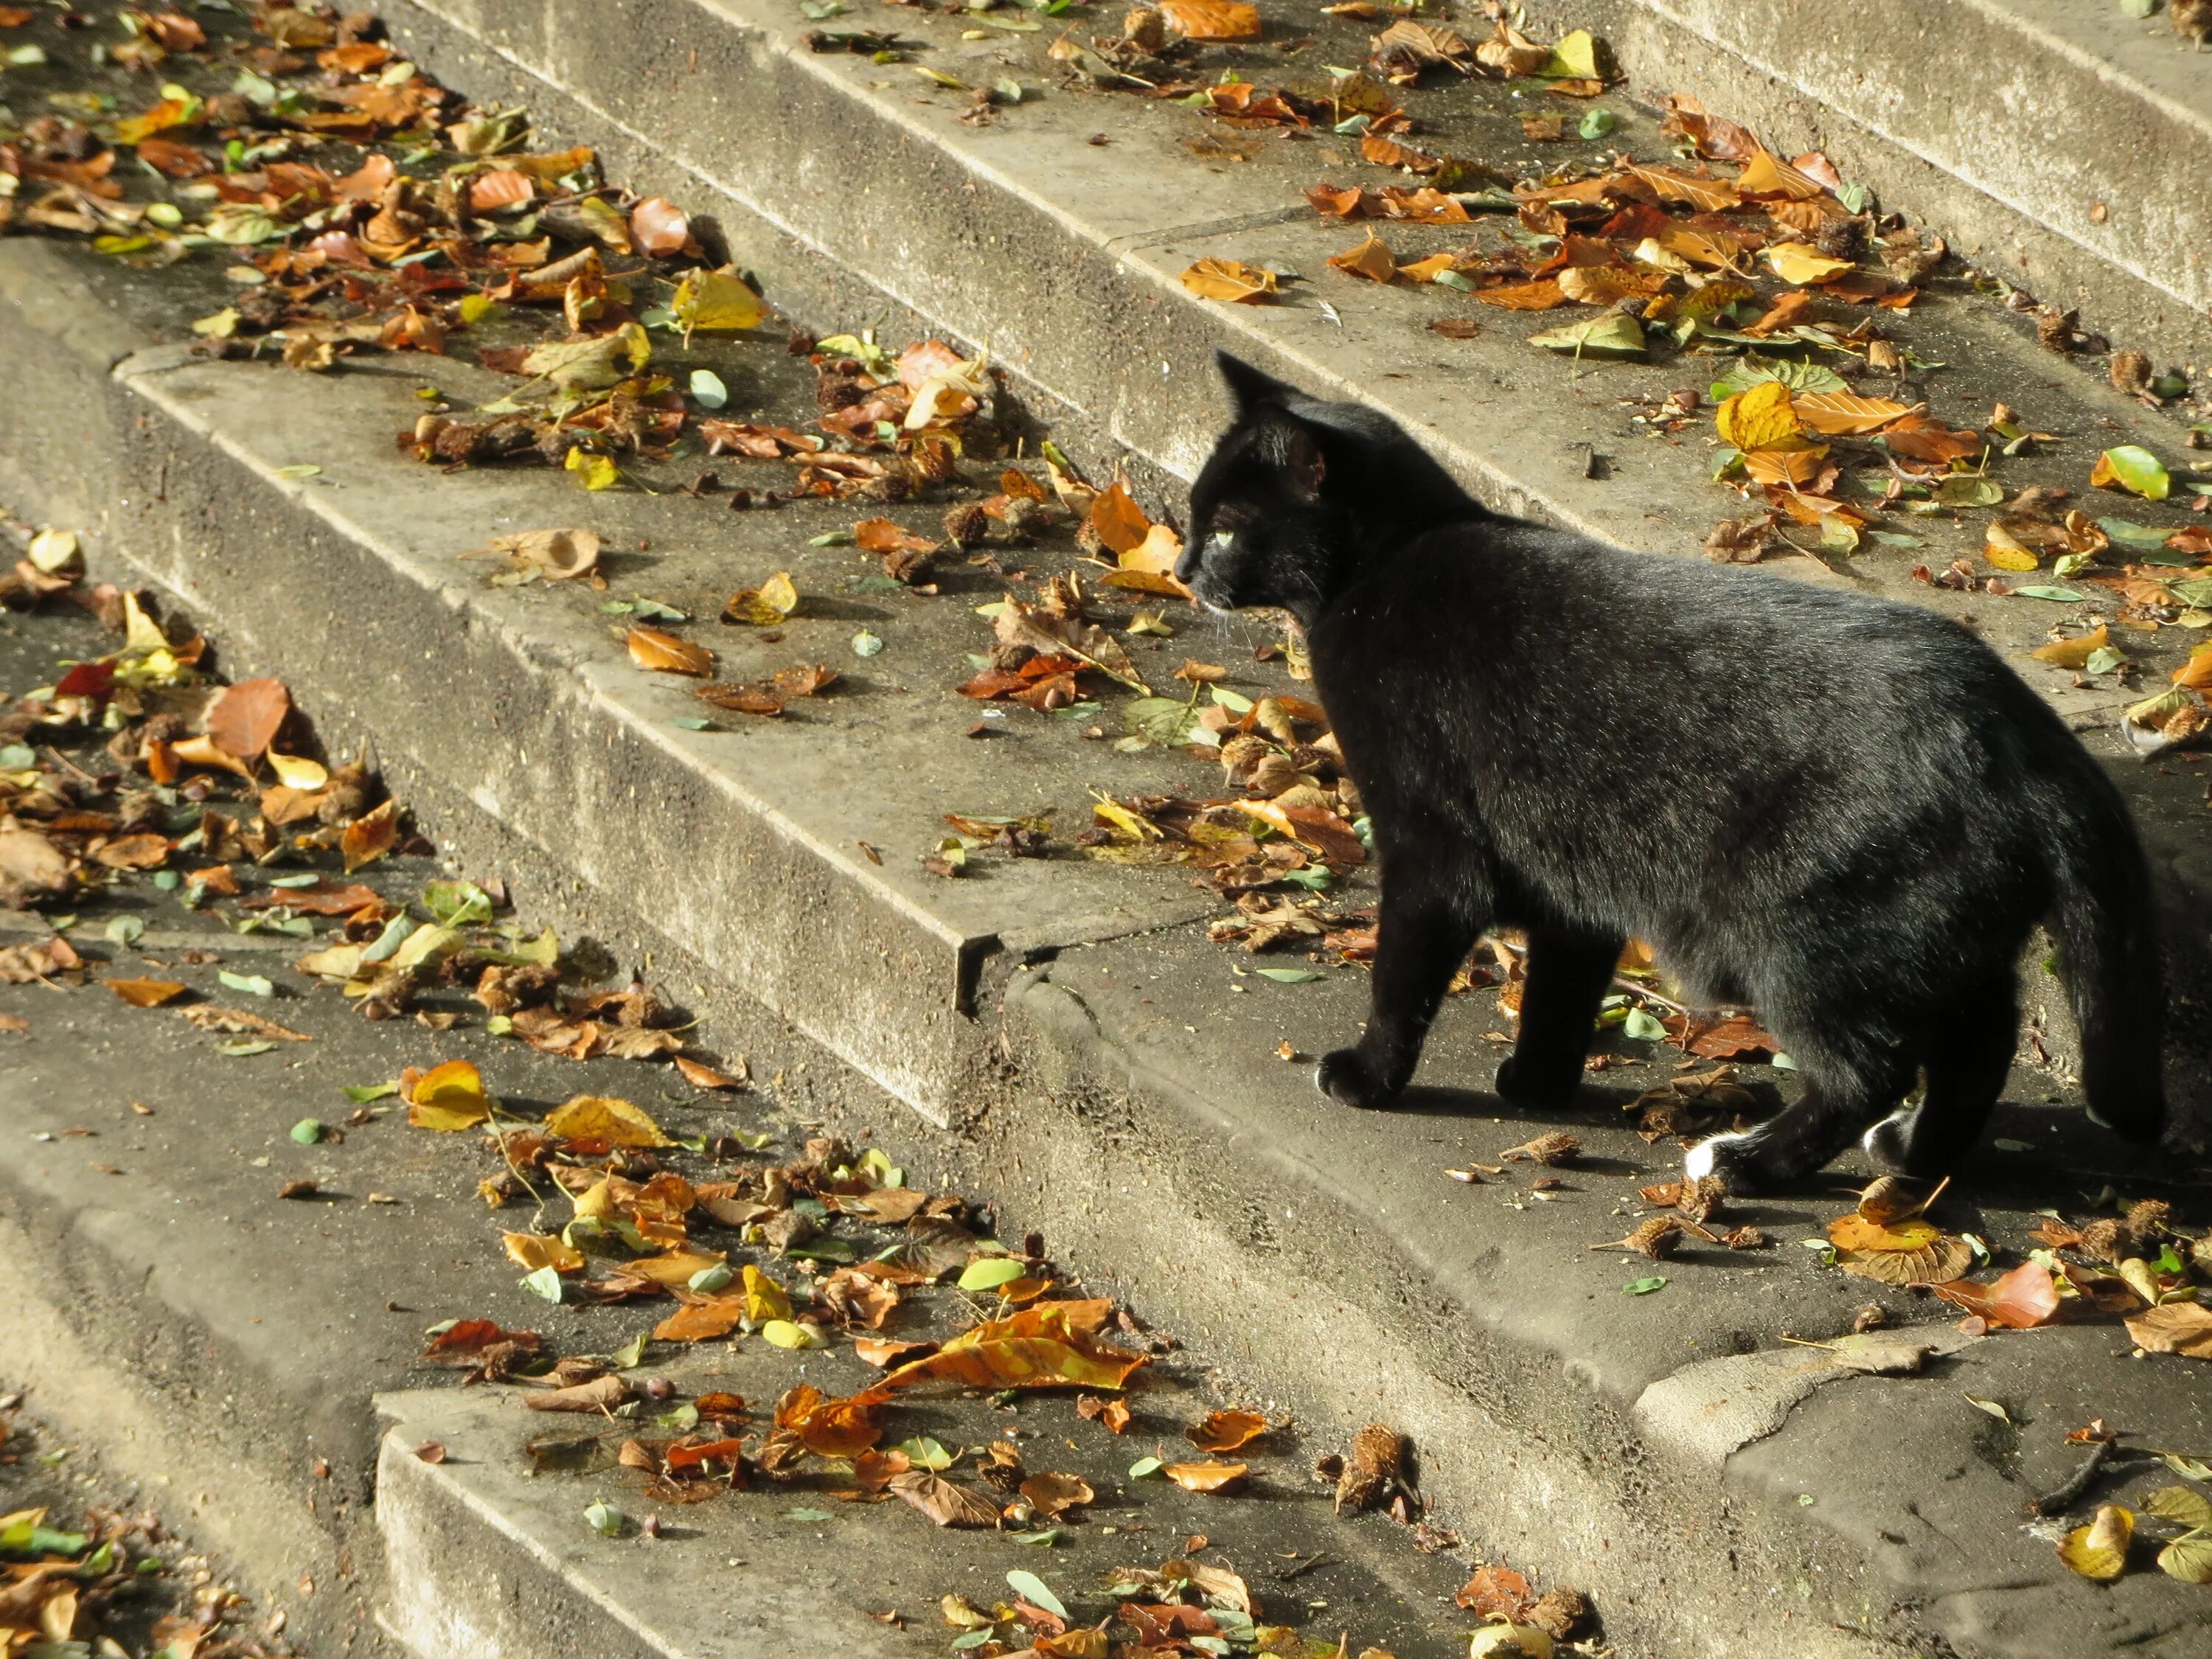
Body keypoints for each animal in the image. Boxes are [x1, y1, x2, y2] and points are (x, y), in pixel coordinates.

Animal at [1186, 354, 2168, 1194]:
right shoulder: (1567, 867)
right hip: (1946, 935)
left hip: (1805, 929)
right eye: (1198, 518)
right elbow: (1562, 987)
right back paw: (1911, 1156)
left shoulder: (1435, 851)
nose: (1187, 566)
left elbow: (1404, 978)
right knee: (1978, 1046)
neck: (1389, 563)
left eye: (1228, 530)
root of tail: (2028, 739)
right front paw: (1537, 1084)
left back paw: (1748, 1164)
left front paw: (1369, 1077)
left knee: (1869, 1067)